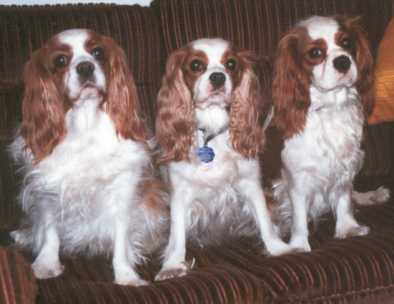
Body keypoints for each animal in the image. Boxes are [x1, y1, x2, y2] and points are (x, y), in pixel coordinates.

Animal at [10, 28, 168, 284]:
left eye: (98, 53)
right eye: (60, 61)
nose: (85, 67)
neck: (84, 123)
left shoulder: (122, 188)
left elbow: (121, 238)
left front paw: (126, 275)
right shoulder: (47, 189)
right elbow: (50, 230)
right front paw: (46, 263)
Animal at [154, 39, 292, 282]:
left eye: (231, 64)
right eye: (196, 65)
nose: (218, 76)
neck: (212, 130)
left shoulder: (250, 183)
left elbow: (264, 219)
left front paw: (277, 248)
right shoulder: (180, 193)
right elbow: (177, 233)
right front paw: (172, 265)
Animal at [270, 15, 388, 251]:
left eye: (346, 43)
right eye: (315, 53)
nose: (342, 61)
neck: (330, 106)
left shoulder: (345, 164)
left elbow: (344, 198)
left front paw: (348, 229)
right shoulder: (297, 176)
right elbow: (299, 215)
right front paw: (298, 245)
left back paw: (371, 196)